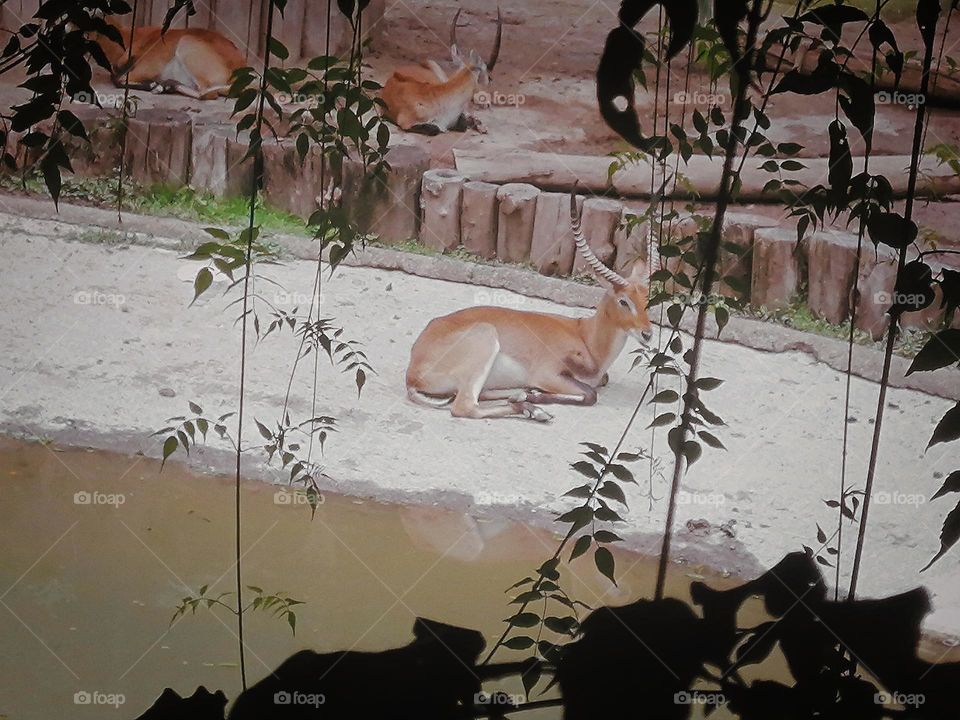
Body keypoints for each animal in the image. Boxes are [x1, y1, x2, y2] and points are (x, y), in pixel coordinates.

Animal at [95, 19, 246, 100]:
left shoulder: (144, 70)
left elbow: (118, 79)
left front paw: (152, 85)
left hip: (186, 44)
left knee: (208, 93)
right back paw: (166, 86)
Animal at [405, 192, 654, 422]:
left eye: (648, 300)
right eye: (624, 301)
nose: (647, 334)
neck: (586, 338)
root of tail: (412, 372)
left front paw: (529, 395)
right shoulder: (547, 374)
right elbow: (591, 394)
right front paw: (534, 396)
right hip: (484, 338)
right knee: (464, 406)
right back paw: (533, 409)